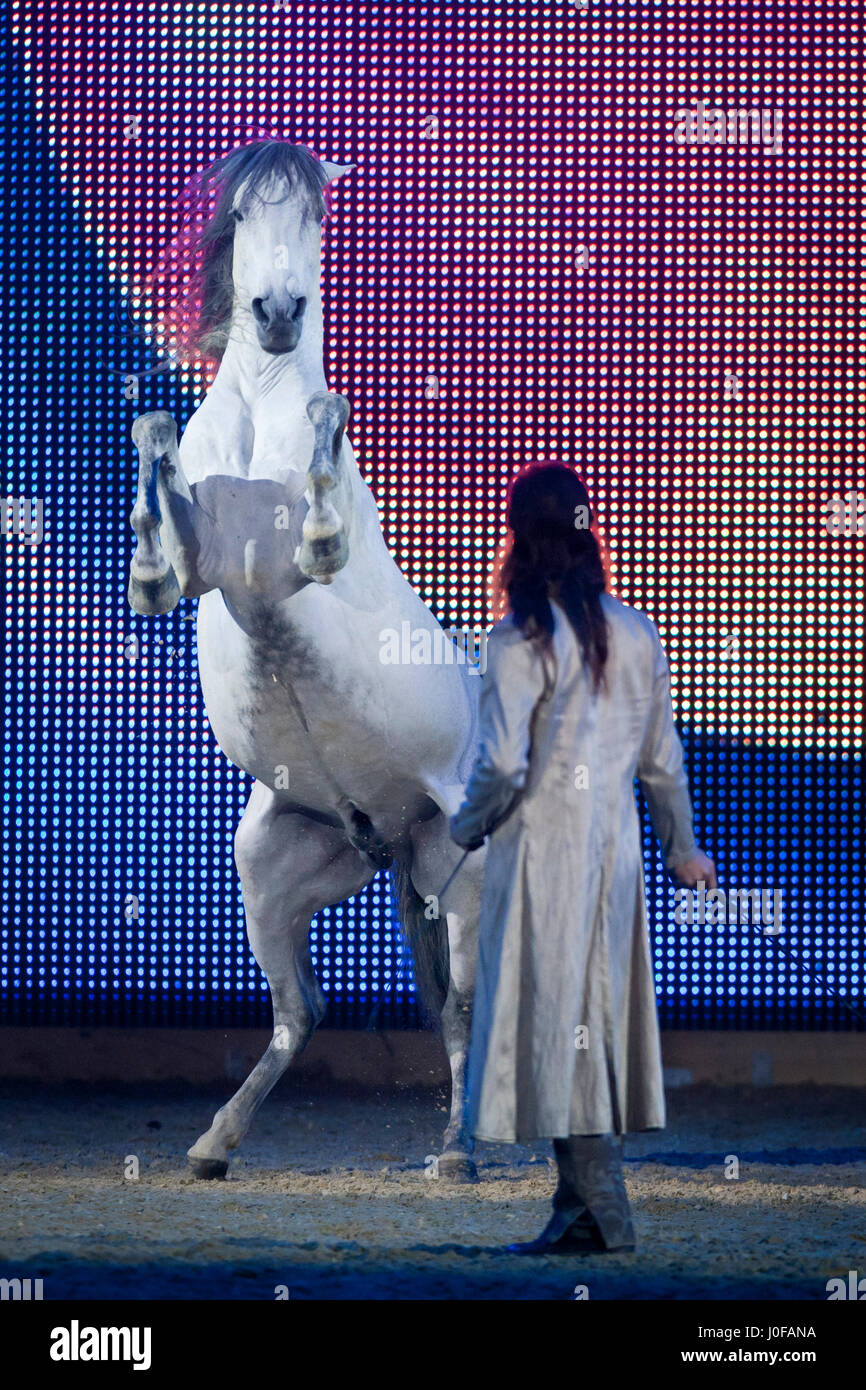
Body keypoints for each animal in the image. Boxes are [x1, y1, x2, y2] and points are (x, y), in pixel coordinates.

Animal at [128, 141, 483, 1178]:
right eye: (244, 213)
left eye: (318, 214)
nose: (278, 312)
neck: (260, 413)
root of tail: (389, 834)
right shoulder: (213, 564)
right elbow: (159, 477)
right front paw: (144, 552)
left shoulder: (275, 578)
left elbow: (318, 506)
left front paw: (325, 490)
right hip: (277, 869)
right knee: (302, 1011)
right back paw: (212, 1143)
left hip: (460, 874)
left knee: (462, 1005)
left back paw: (458, 1151)